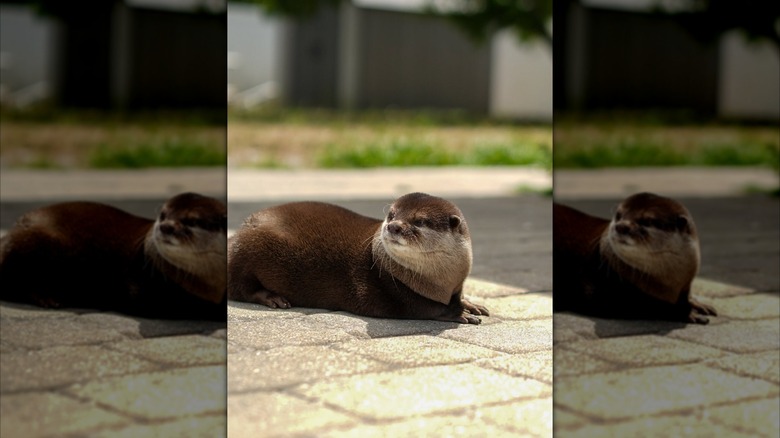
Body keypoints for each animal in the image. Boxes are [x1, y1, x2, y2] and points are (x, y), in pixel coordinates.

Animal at [0, 193, 226, 320]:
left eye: (192, 221)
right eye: (163, 215)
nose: (165, 226)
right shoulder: (146, 288)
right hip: (36, 243)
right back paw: (48, 298)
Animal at [228, 192, 488, 324]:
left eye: (420, 221)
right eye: (391, 214)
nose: (393, 226)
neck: (442, 283)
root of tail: (244, 226)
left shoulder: (457, 284)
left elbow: (458, 296)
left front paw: (470, 304)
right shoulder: (391, 293)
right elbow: (426, 308)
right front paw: (459, 314)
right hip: (247, 249)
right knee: (241, 287)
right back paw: (273, 298)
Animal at [553, 192, 716, 324]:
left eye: (648, 221)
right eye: (619, 215)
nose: (621, 226)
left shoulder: (685, 285)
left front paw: (698, 304)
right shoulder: (600, 289)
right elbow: (652, 305)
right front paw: (688, 313)